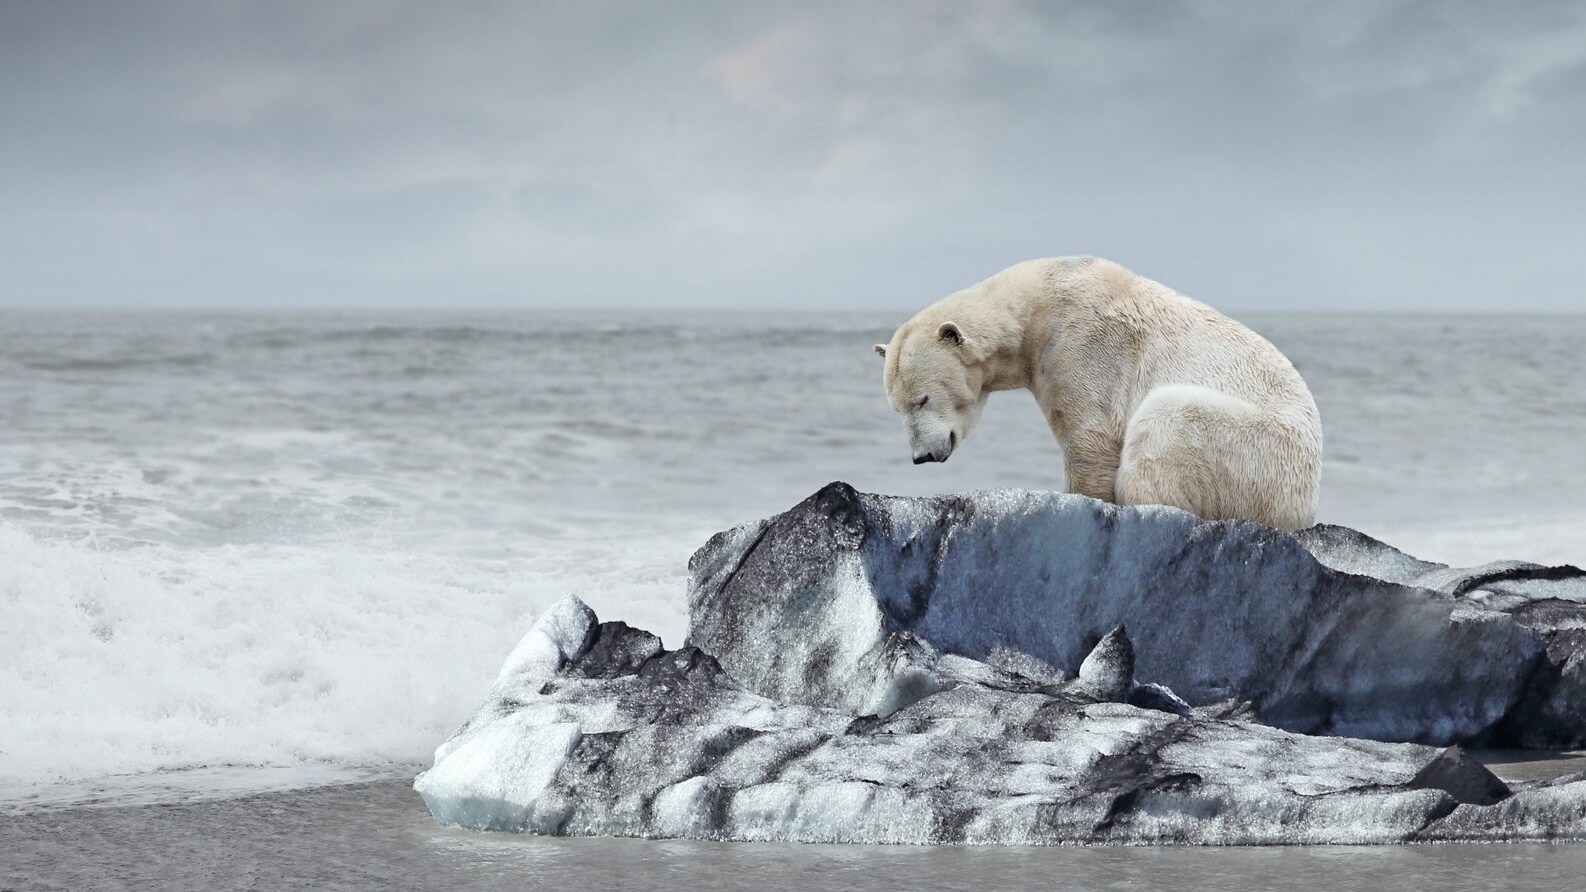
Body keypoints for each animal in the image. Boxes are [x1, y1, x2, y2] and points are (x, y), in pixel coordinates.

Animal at [875, 256, 1322, 531]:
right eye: (896, 408)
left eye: (922, 399)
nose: (921, 456)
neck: (1038, 305)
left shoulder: (1085, 347)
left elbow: (1089, 438)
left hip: (1259, 453)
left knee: (1168, 418)